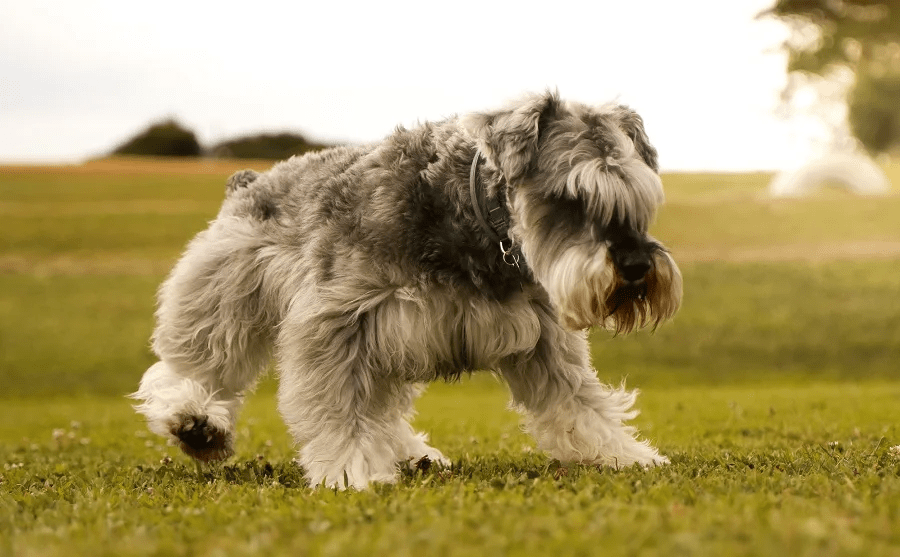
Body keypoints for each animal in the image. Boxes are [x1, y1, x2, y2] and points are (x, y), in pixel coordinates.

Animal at [132, 93, 684, 488]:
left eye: (640, 199)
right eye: (569, 198)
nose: (636, 266)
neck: (475, 217)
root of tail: (249, 181)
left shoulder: (542, 337)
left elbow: (579, 403)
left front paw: (624, 454)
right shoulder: (337, 321)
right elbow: (338, 406)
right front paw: (352, 470)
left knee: (383, 410)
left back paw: (411, 454)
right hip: (224, 301)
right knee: (193, 367)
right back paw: (196, 422)